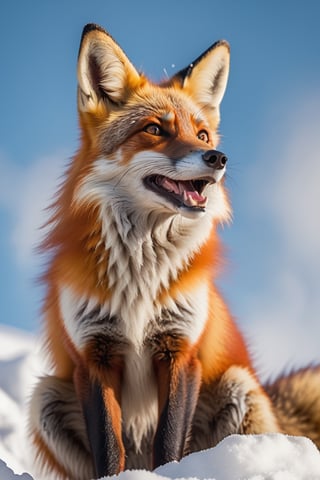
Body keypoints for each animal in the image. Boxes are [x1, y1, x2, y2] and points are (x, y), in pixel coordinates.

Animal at [28, 24, 318, 480]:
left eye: (202, 135)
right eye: (155, 130)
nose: (218, 157)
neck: (140, 277)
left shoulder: (180, 349)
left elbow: (168, 443)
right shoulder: (94, 355)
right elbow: (109, 447)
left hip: (238, 385)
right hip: (45, 399)